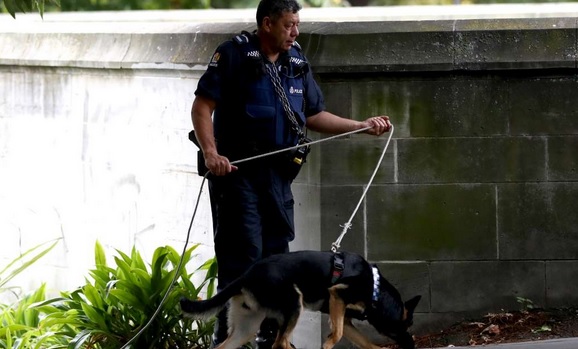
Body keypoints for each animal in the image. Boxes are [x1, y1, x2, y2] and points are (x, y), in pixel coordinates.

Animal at [180, 250, 418, 348]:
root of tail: (246, 275)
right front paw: (327, 345)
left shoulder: (344, 316)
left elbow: (366, 342)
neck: (375, 288)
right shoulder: (338, 294)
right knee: (280, 342)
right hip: (294, 303)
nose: (411, 345)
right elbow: (337, 334)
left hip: (246, 327)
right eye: (407, 324)